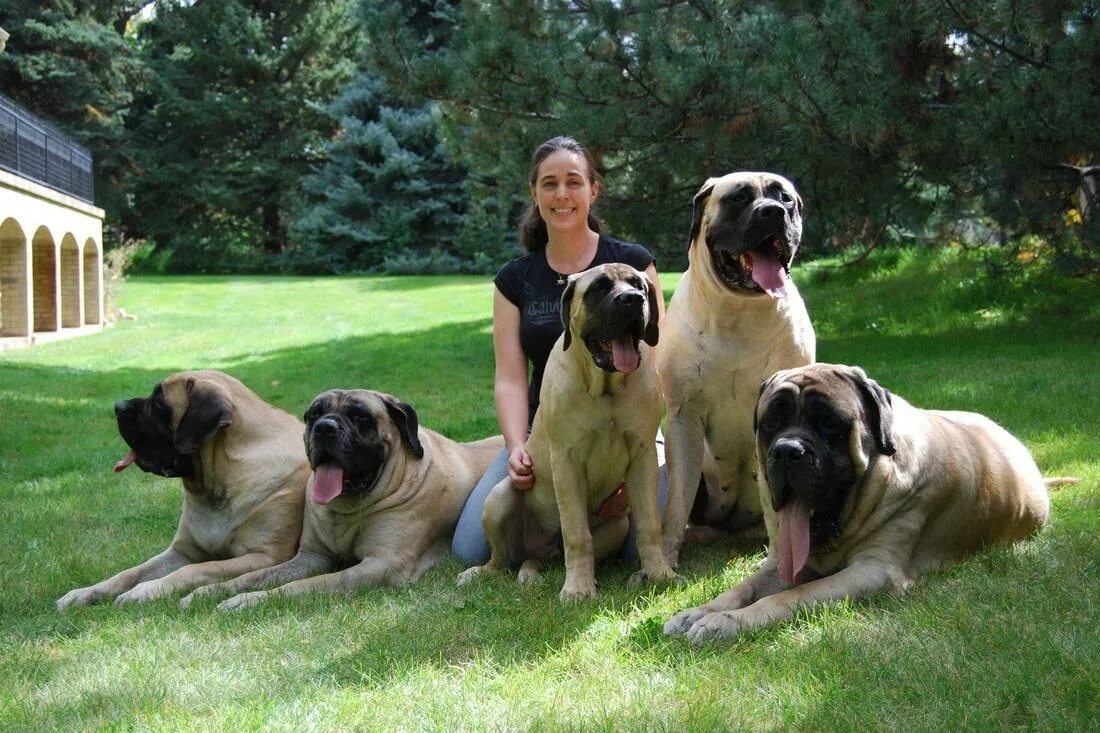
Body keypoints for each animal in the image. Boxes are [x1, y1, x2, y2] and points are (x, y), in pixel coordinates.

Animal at [58, 367, 312, 607]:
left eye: (159, 403)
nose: (118, 406)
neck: (218, 485)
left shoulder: (265, 557)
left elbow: (200, 568)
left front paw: (146, 590)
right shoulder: (181, 551)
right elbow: (131, 572)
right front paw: (85, 592)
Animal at [181, 387, 503, 611]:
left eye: (360, 416)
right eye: (313, 414)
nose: (325, 427)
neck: (350, 509)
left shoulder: (382, 565)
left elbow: (307, 585)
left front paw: (249, 601)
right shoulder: (311, 556)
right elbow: (256, 575)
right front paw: (207, 592)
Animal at [457, 263, 677, 598]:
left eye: (639, 285)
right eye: (599, 288)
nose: (632, 300)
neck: (606, 388)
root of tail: (542, 551)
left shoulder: (643, 456)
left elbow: (649, 524)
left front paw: (659, 574)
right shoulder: (566, 460)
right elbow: (576, 534)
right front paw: (577, 590)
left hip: (617, 524)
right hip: (500, 496)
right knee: (503, 559)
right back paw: (483, 573)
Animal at [651, 169, 818, 563]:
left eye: (785, 198)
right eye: (738, 198)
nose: (773, 212)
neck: (739, 313)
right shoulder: (683, 418)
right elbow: (677, 501)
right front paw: (664, 559)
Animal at [664, 363, 1051, 638]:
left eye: (829, 423)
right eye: (771, 422)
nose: (787, 451)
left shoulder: (874, 571)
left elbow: (794, 595)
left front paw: (729, 622)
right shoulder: (780, 563)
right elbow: (742, 588)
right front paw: (699, 613)